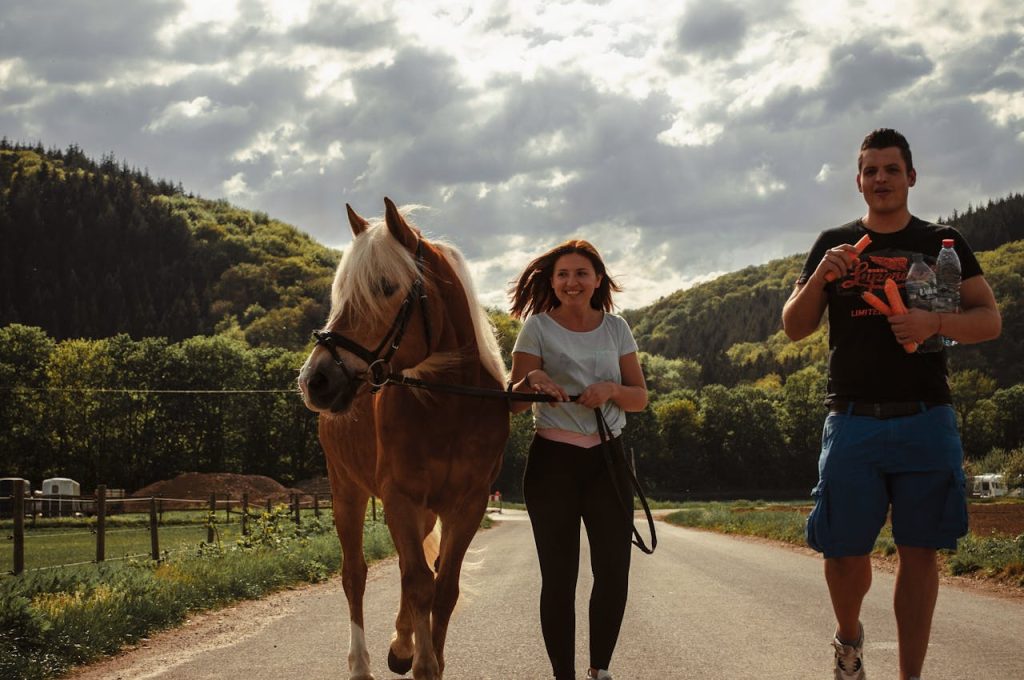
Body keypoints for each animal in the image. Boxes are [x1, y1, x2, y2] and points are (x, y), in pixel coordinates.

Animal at [296, 197, 507, 680]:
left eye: (386, 286)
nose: (315, 380)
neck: (450, 407)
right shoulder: (399, 498)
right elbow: (418, 583)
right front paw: (425, 663)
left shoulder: (466, 505)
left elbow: (442, 587)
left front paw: (428, 656)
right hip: (346, 491)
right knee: (355, 574)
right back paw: (361, 663)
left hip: (423, 512)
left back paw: (401, 643)